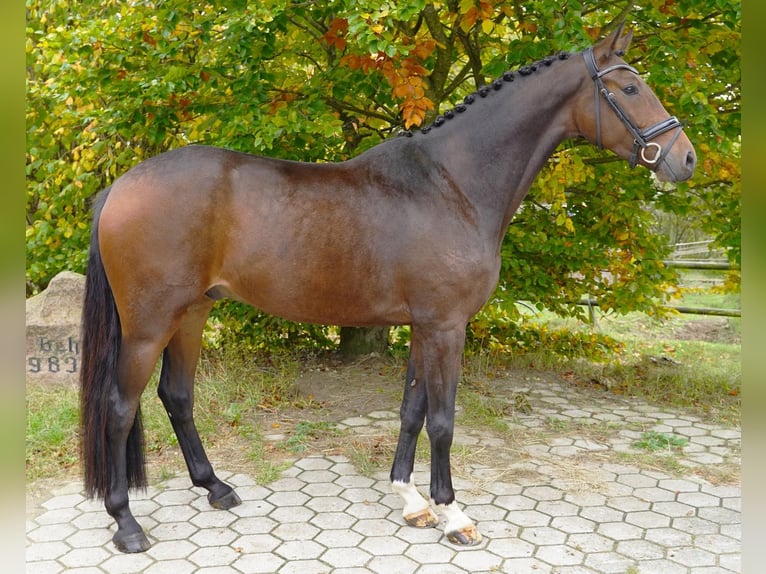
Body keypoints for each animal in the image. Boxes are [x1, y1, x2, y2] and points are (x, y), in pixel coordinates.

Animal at [79, 23, 696, 553]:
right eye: (630, 87)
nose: (685, 159)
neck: (452, 184)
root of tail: (120, 186)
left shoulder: (425, 326)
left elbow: (412, 410)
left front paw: (410, 500)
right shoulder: (447, 327)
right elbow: (443, 421)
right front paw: (454, 516)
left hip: (192, 314)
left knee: (176, 396)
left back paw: (216, 488)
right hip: (149, 325)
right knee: (119, 406)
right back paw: (126, 523)